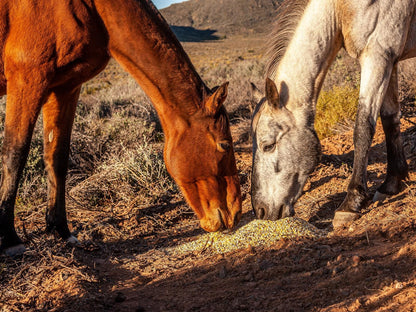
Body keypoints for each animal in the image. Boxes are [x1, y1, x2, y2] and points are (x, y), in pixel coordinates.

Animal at [0, 0, 242, 256]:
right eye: (225, 145)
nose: (235, 213)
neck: (95, 10)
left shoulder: (64, 87)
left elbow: (57, 158)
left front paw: (61, 230)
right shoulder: (28, 81)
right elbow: (14, 155)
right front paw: (10, 239)